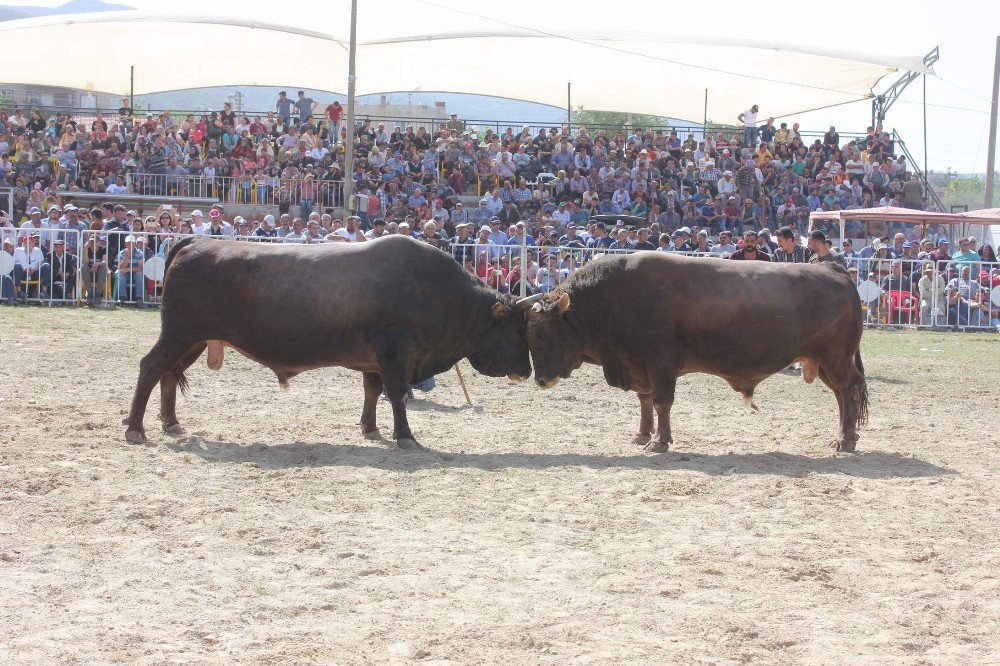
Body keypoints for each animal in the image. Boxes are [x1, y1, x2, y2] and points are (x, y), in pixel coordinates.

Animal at [524, 253, 868, 452]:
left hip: (835, 359)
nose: (540, 380)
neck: (609, 297)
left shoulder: (660, 362)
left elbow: (662, 401)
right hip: (824, 362)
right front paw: (642, 435)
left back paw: (845, 440)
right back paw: (844, 436)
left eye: (542, 333)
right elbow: (645, 401)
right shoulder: (639, 365)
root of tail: (834, 270)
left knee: (849, 390)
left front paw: (659, 442)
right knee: (841, 395)